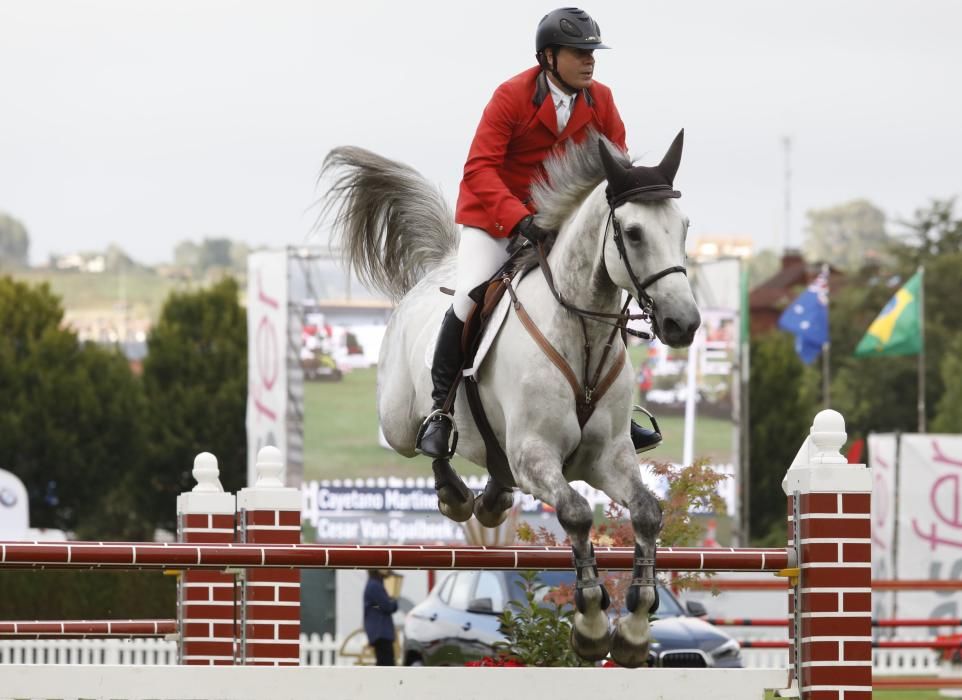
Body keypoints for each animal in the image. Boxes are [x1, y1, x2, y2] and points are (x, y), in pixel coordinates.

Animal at [322, 131, 696, 668]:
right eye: (633, 232)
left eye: (683, 227)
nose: (684, 323)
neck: (581, 334)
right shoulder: (535, 454)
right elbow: (576, 513)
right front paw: (590, 622)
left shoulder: (609, 457)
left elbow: (646, 511)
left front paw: (633, 629)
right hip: (398, 424)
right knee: (429, 441)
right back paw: (454, 492)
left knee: (495, 468)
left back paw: (493, 499)